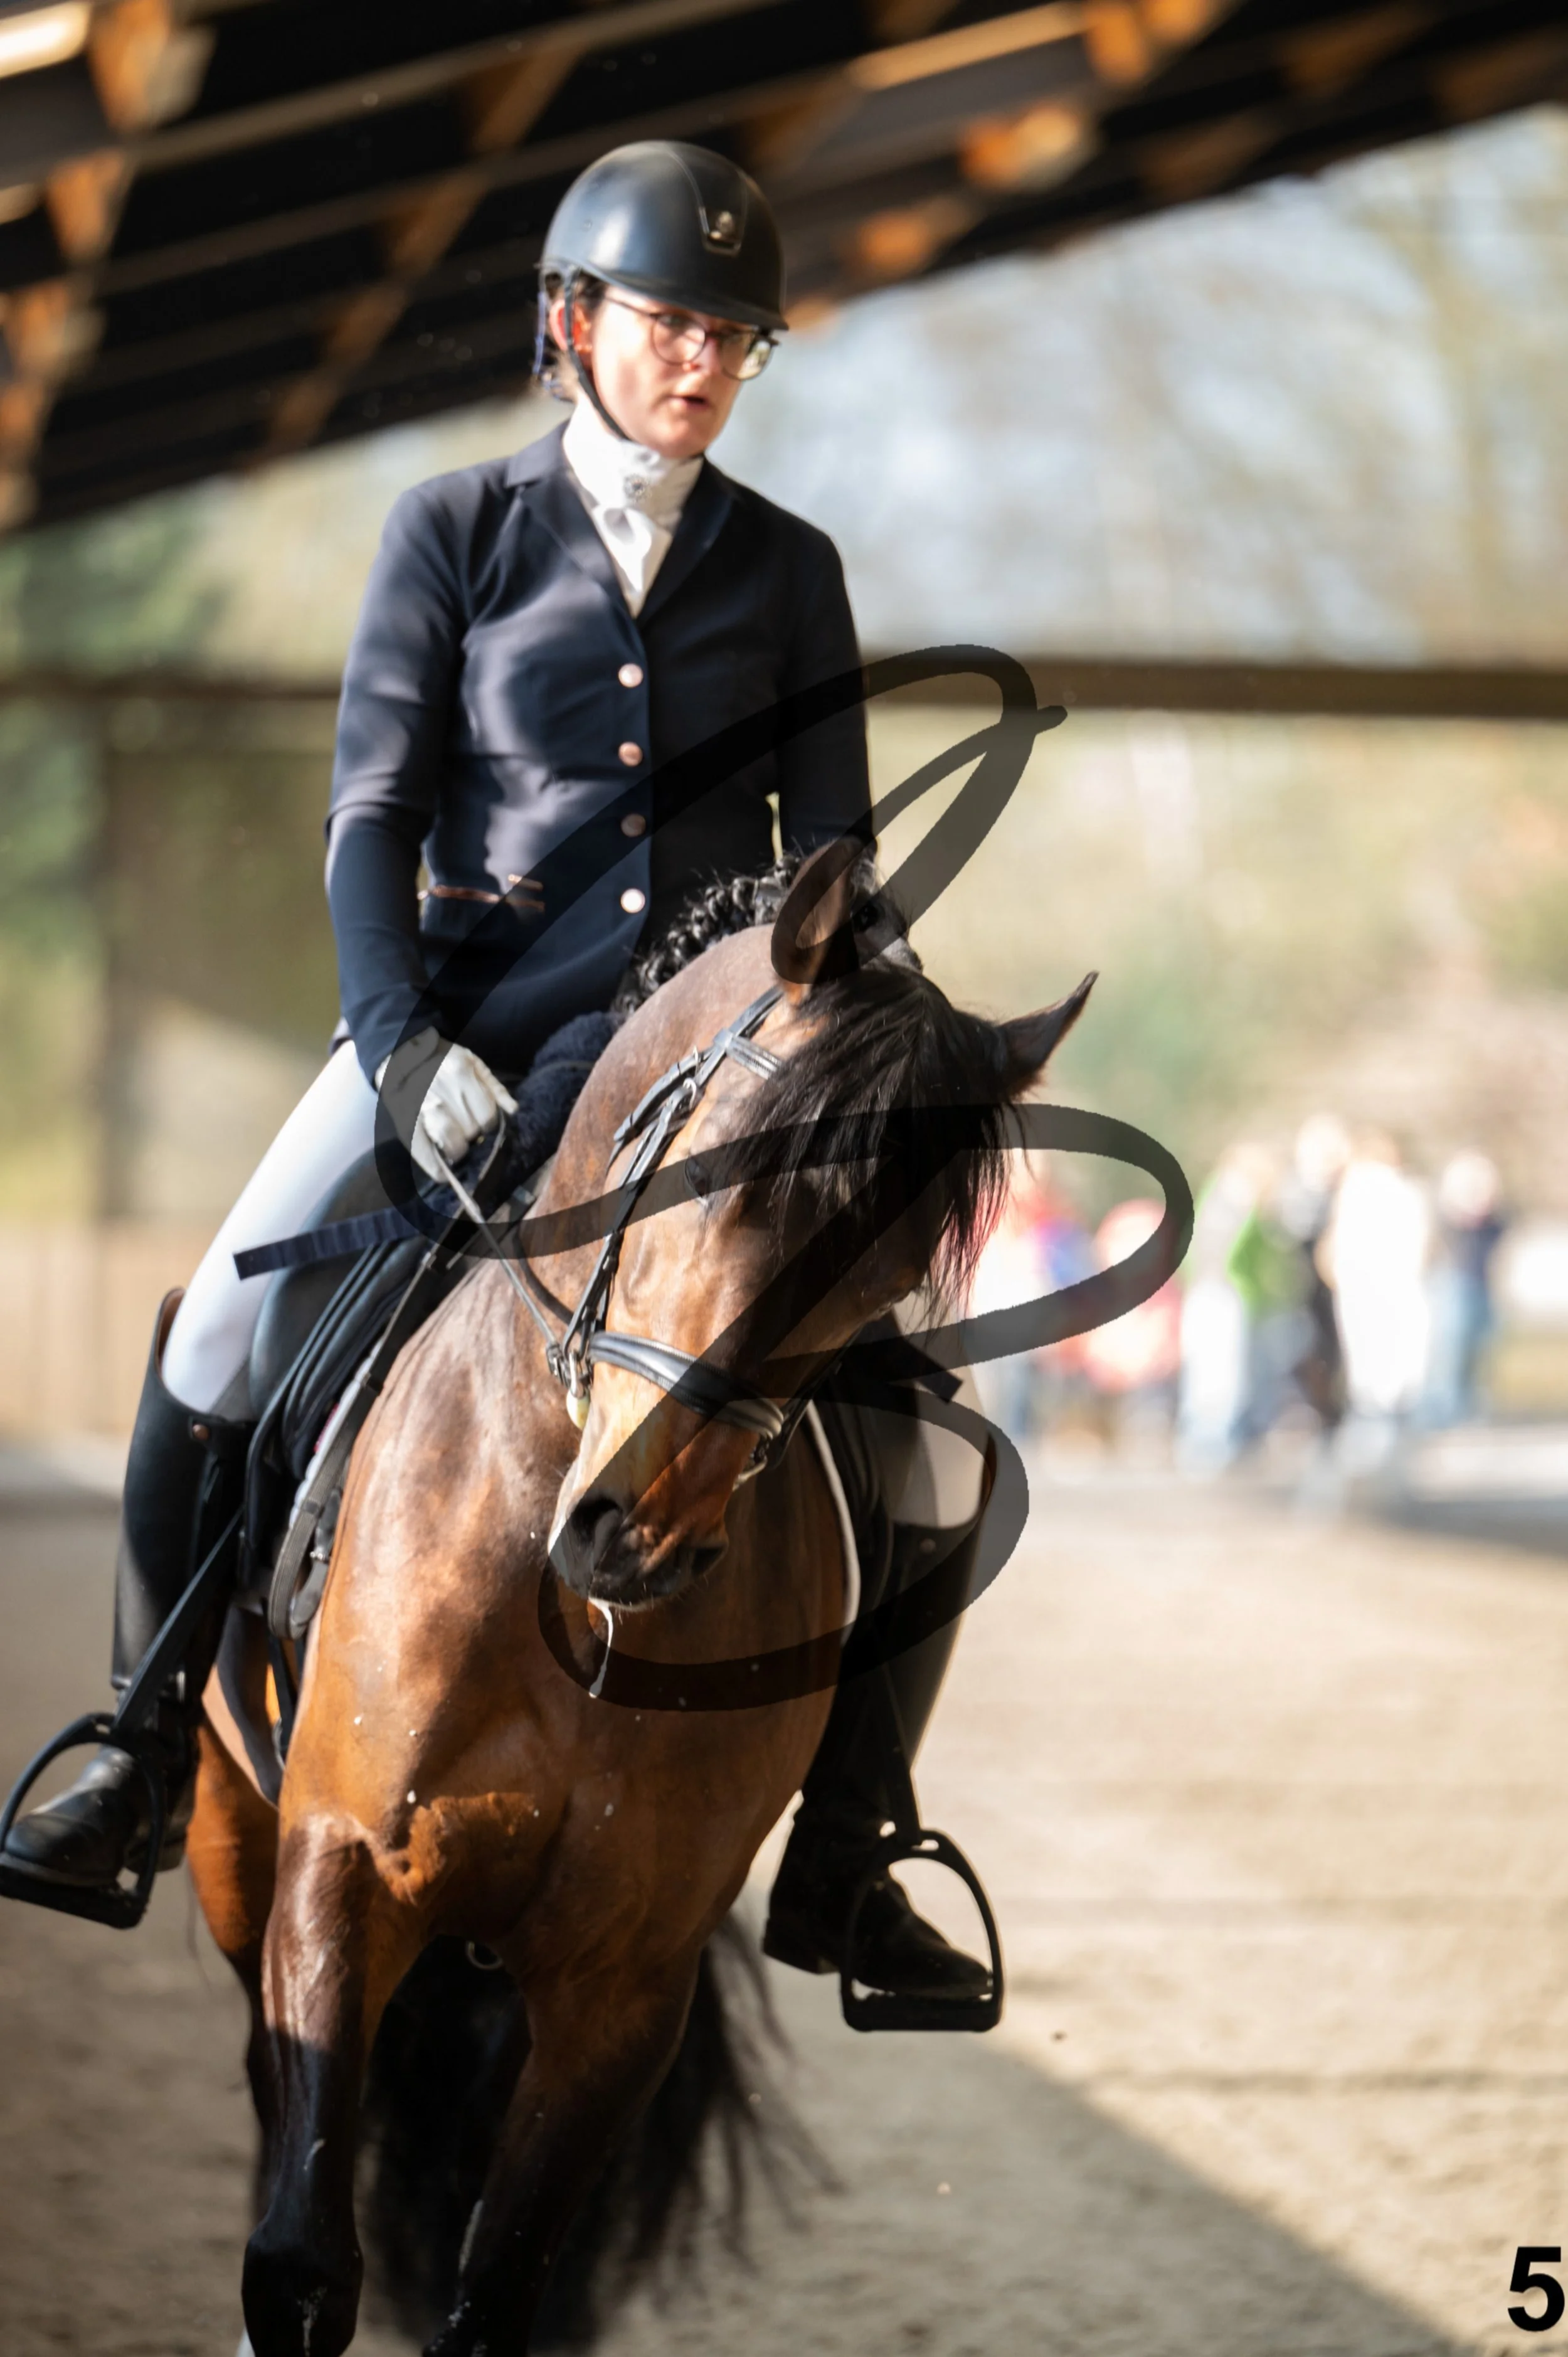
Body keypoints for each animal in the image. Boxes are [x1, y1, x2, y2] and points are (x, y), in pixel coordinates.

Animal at [186, 848, 1087, 2356]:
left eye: (893, 1273)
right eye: (714, 1179)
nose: (636, 1541)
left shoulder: (623, 1982)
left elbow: (498, 2291)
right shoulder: (339, 1869)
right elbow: (301, 2262)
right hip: (231, 1841)